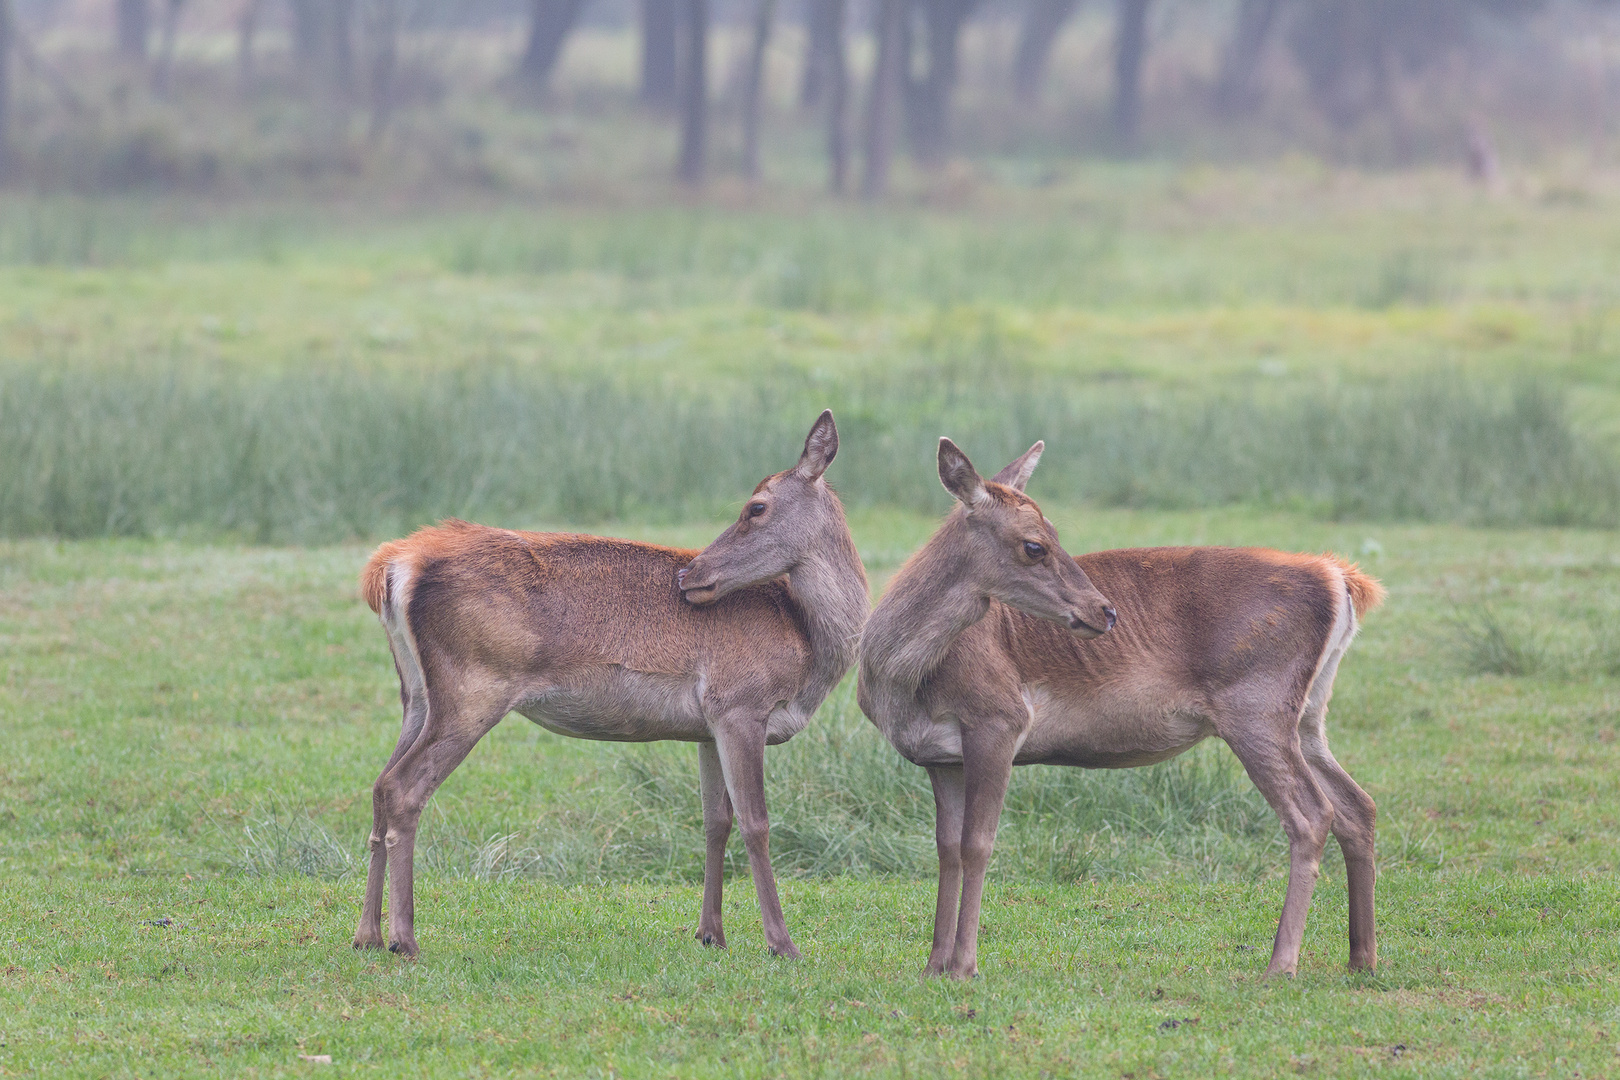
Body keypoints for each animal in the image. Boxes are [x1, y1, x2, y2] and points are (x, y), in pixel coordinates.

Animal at [348, 409, 868, 958]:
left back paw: (367, 934)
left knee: (379, 785)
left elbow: (715, 822)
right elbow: (756, 823)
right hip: (472, 688)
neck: (808, 649)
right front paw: (782, 943)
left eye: (757, 506)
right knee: (403, 788)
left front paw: (710, 932)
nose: (690, 574)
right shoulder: (740, 703)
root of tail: (392, 566)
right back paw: (404, 938)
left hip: (416, 695)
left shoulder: (709, 726)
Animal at [855, 437, 1386, 977]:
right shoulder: (939, 757)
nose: (1105, 611)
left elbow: (977, 844)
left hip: (1256, 705)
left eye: (1055, 533)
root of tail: (1340, 579)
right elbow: (946, 850)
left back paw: (1281, 963)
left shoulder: (999, 718)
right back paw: (1361, 957)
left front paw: (964, 965)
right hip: (1307, 717)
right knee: (1356, 804)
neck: (902, 680)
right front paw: (933, 965)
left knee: (1312, 814)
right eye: (1034, 544)